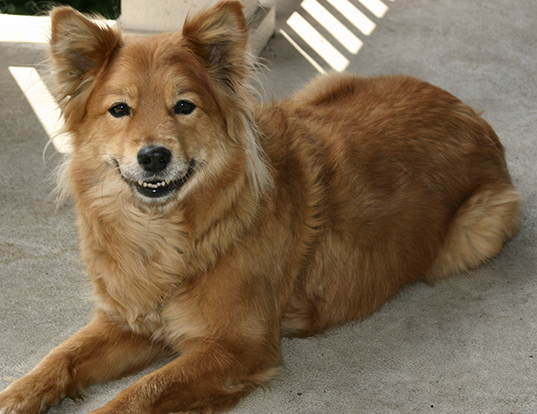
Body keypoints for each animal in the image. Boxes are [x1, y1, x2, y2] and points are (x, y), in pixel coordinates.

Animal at [0, 1, 520, 412]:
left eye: (184, 106)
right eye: (119, 110)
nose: (153, 157)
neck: (167, 232)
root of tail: (464, 109)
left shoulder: (237, 348)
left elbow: (141, 393)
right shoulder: (129, 322)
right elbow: (59, 358)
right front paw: (15, 395)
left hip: (479, 228)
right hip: (317, 89)